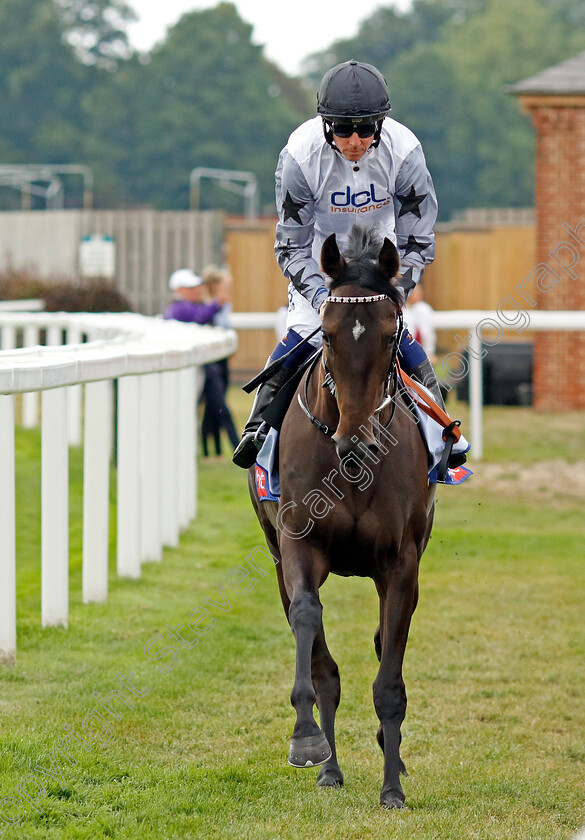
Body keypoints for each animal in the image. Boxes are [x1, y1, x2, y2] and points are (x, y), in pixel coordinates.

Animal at [246, 226, 434, 812]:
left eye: (391, 335)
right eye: (327, 336)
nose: (357, 442)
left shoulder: (400, 563)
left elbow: (389, 675)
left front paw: (393, 785)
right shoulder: (297, 546)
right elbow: (311, 627)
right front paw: (308, 740)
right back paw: (328, 766)